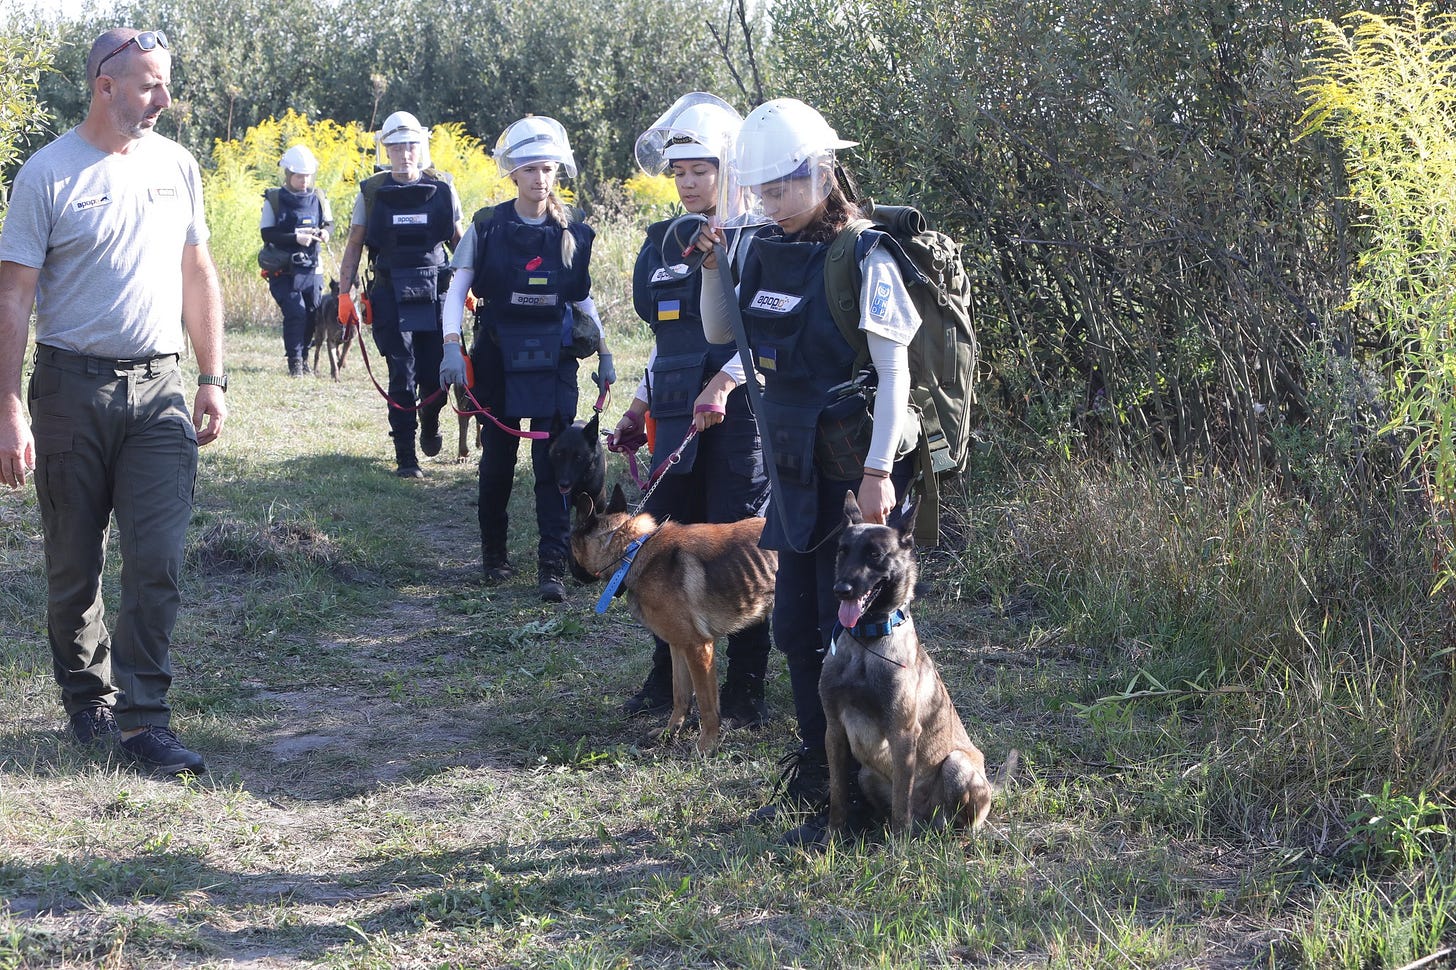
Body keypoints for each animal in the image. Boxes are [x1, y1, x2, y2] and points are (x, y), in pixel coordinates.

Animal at [570, 483, 780, 757]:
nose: (571, 574)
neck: (632, 550)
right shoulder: (679, 645)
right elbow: (680, 695)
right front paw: (670, 732)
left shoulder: (699, 648)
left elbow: (707, 704)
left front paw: (706, 745)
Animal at [821, 492, 1013, 833]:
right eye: (843, 551)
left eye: (875, 554)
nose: (841, 590)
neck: (867, 642)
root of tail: (930, 821)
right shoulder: (834, 731)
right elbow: (838, 794)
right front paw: (831, 836)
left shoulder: (902, 734)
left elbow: (901, 800)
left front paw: (899, 844)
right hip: (866, 774)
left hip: (956, 765)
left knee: (962, 819)